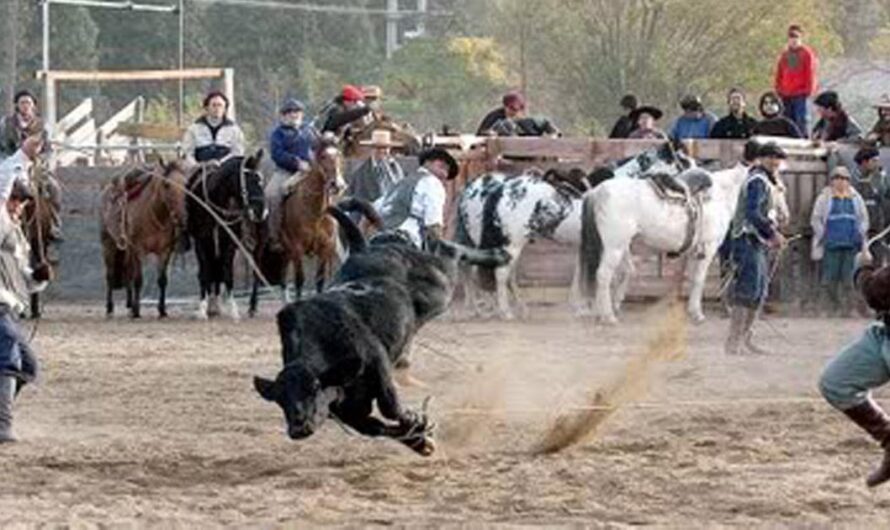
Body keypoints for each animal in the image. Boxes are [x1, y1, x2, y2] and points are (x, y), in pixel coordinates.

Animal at [99, 160, 186, 318]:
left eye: (185, 182)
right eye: (166, 184)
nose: (182, 216)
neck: (156, 214)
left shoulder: (165, 252)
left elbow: (162, 280)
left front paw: (162, 310)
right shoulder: (139, 250)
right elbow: (139, 280)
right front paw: (137, 311)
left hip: (127, 250)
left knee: (128, 273)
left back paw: (129, 304)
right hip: (108, 245)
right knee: (110, 276)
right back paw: (110, 308)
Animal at [454, 141, 692, 318]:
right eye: (682, 162)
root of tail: (498, 188)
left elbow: (588, 273)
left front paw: (582, 306)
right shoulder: (613, 242)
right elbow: (620, 271)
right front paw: (607, 305)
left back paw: (495, 307)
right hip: (510, 243)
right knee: (497, 272)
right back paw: (501, 310)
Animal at [580, 163, 788, 324]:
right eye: (779, 188)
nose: (784, 216)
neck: (720, 196)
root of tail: (596, 192)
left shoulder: (691, 251)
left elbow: (682, 277)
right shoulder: (709, 248)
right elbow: (698, 279)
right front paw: (696, 313)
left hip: (621, 246)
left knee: (625, 272)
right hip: (614, 246)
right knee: (604, 275)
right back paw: (607, 316)